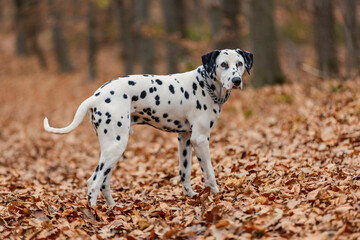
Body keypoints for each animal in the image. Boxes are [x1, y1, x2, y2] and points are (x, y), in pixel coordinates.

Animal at [44, 48, 253, 206]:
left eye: (239, 64)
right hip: (115, 147)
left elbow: (184, 173)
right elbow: (209, 173)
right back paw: (94, 214)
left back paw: (113, 208)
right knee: (93, 182)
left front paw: (191, 197)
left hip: (113, 149)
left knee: (104, 183)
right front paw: (216, 196)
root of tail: (96, 95)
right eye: (223, 64)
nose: (236, 81)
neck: (204, 85)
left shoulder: (185, 139)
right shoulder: (200, 139)